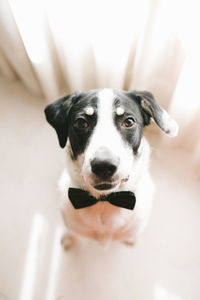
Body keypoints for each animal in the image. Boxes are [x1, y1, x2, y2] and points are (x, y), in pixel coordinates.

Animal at [44, 88, 178, 248]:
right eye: (81, 123)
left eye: (128, 122)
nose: (103, 166)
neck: (105, 201)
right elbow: (69, 229)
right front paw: (67, 237)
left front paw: (132, 239)